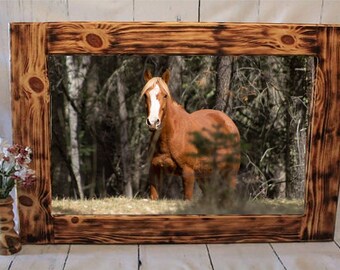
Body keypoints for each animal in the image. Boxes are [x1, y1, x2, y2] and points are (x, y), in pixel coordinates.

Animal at [140, 69, 239, 200]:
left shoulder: (188, 172)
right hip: (205, 176)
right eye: (146, 95)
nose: (153, 122)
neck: (170, 137)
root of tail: (228, 121)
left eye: (165, 95)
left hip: (230, 173)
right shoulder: (155, 170)